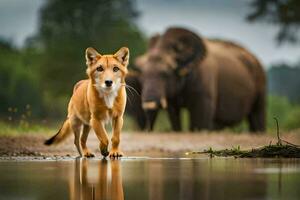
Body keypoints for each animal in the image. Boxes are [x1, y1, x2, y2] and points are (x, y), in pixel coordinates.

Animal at [134, 27, 264, 133]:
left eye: (166, 74)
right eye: (141, 78)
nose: (148, 130)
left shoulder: (204, 82)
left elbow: (200, 122)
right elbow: (174, 115)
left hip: (261, 79)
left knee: (257, 117)